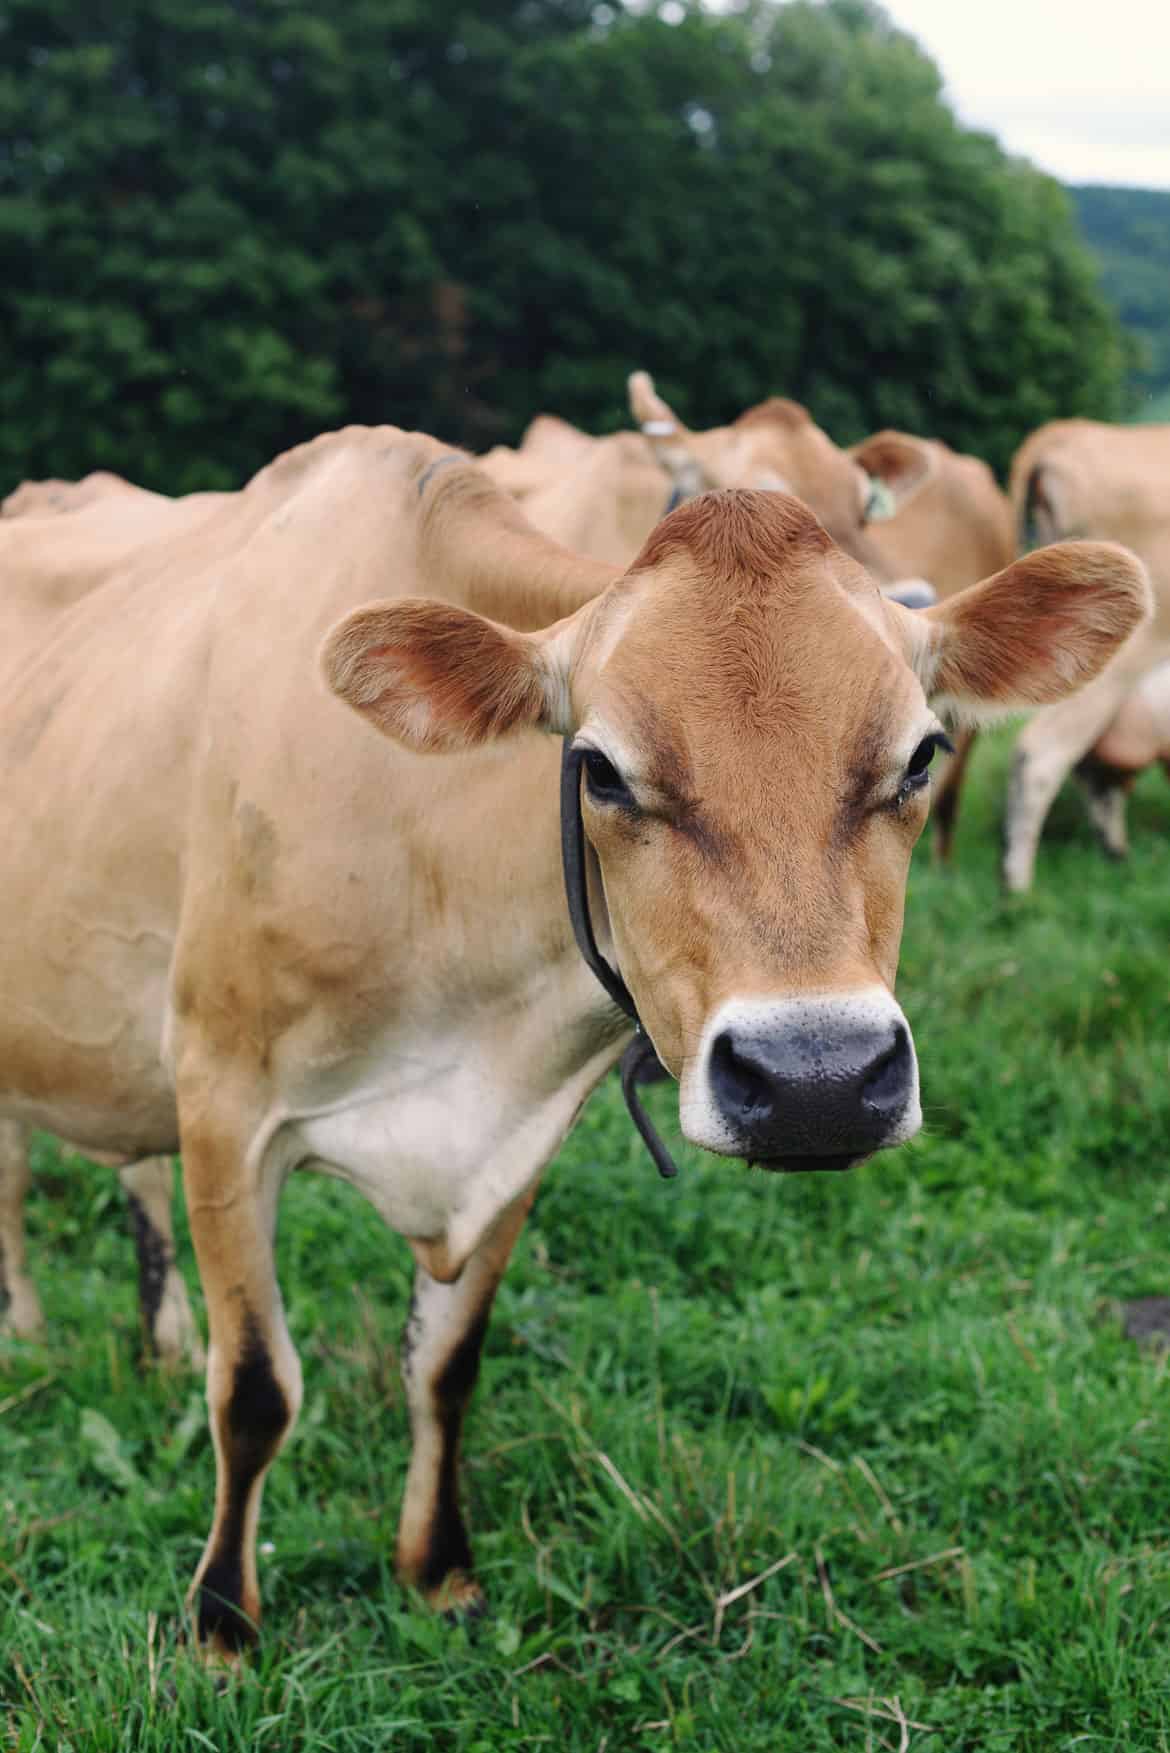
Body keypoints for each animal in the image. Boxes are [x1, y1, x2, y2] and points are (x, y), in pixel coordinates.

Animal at [0, 424, 1148, 1658]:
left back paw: (159, 1329)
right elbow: (256, 1388)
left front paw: (438, 1570)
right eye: (599, 769)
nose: (818, 1081)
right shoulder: (224, 1097)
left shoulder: (519, 1130)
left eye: (922, 756)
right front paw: (221, 1620)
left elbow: (446, 1366)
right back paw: (26, 1323)